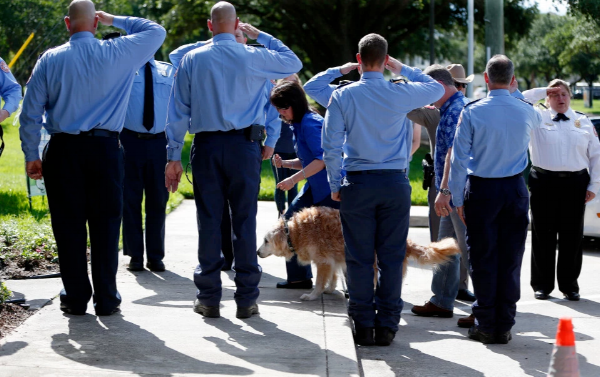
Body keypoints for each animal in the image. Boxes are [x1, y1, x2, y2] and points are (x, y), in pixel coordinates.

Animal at [256, 206, 460, 300]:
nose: (257, 252)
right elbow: (333, 277)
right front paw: (330, 290)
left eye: (266, 241)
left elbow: (320, 282)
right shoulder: (332, 261)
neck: (295, 232)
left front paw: (313, 295)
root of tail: (406, 242)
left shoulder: (323, 261)